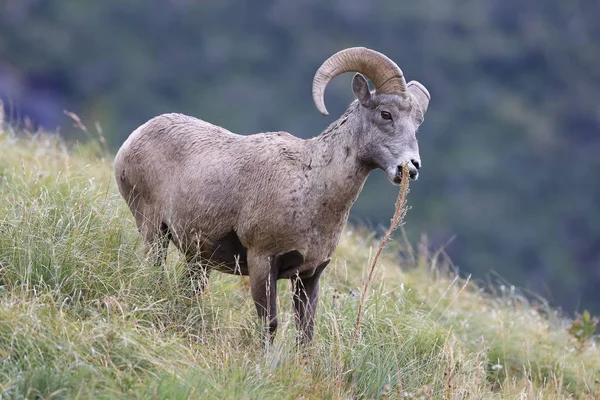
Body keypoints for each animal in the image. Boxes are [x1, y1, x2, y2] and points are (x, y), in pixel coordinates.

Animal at [113, 47, 432, 344]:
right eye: (386, 114)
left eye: (417, 124)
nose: (411, 167)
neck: (312, 188)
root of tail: (134, 139)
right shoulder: (262, 261)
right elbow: (270, 325)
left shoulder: (309, 276)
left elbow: (306, 335)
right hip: (154, 231)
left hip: (197, 259)